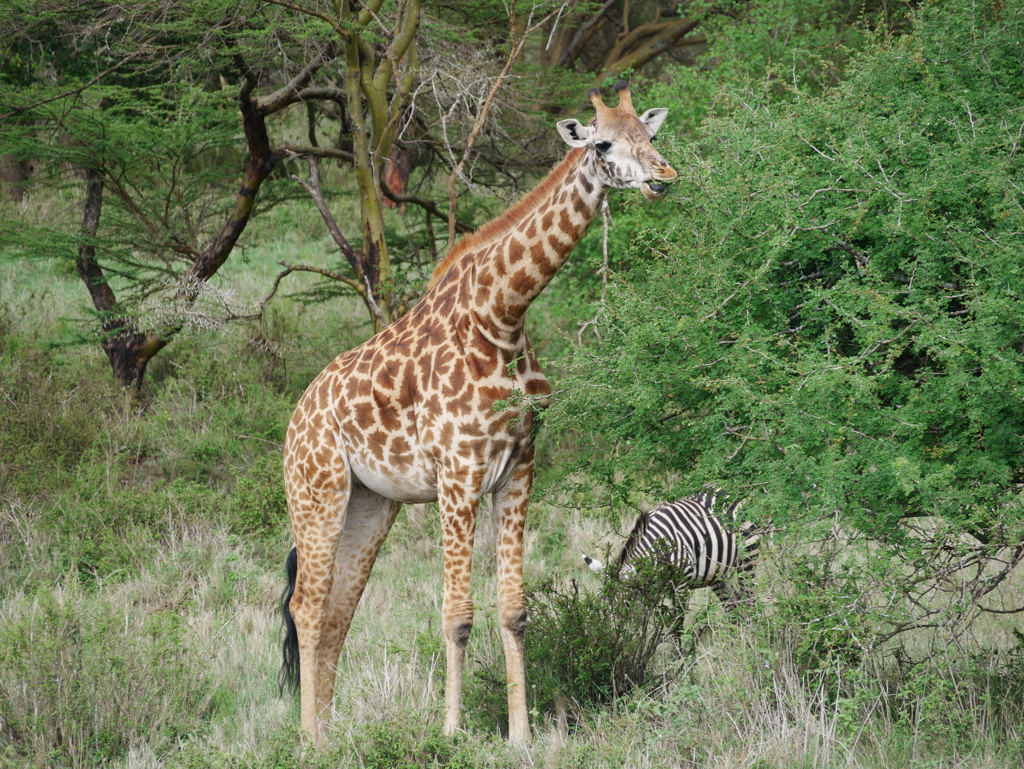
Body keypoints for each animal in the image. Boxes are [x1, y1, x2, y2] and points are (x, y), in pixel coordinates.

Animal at [282, 82, 679, 745]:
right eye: (601, 143)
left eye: (650, 136)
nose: (663, 177)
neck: (504, 314)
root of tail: (294, 418)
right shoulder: (458, 474)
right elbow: (457, 615)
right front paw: (451, 732)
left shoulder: (519, 468)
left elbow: (514, 610)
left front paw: (522, 734)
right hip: (317, 491)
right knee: (306, 606)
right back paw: (310, 739)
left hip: (372, 503)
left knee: (339, 608)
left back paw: (333, 734)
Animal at [585, 489, 761, 610]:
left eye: (624, 604)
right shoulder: (649, 591)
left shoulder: (681, 585)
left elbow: (676, 627)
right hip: (717, 572)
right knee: (733, 604)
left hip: (748, 555)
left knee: (749, 599)